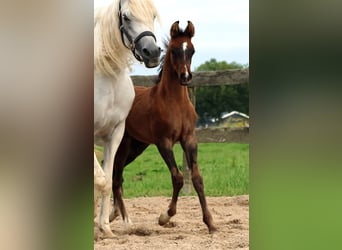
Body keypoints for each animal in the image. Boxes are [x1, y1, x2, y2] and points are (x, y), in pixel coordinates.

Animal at [93, 0, 160, 238]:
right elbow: (102, 180)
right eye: (126, 17)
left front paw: (104, 227)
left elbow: (107, 180)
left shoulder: (115, 134)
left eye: (153, 16)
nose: (152, 52)